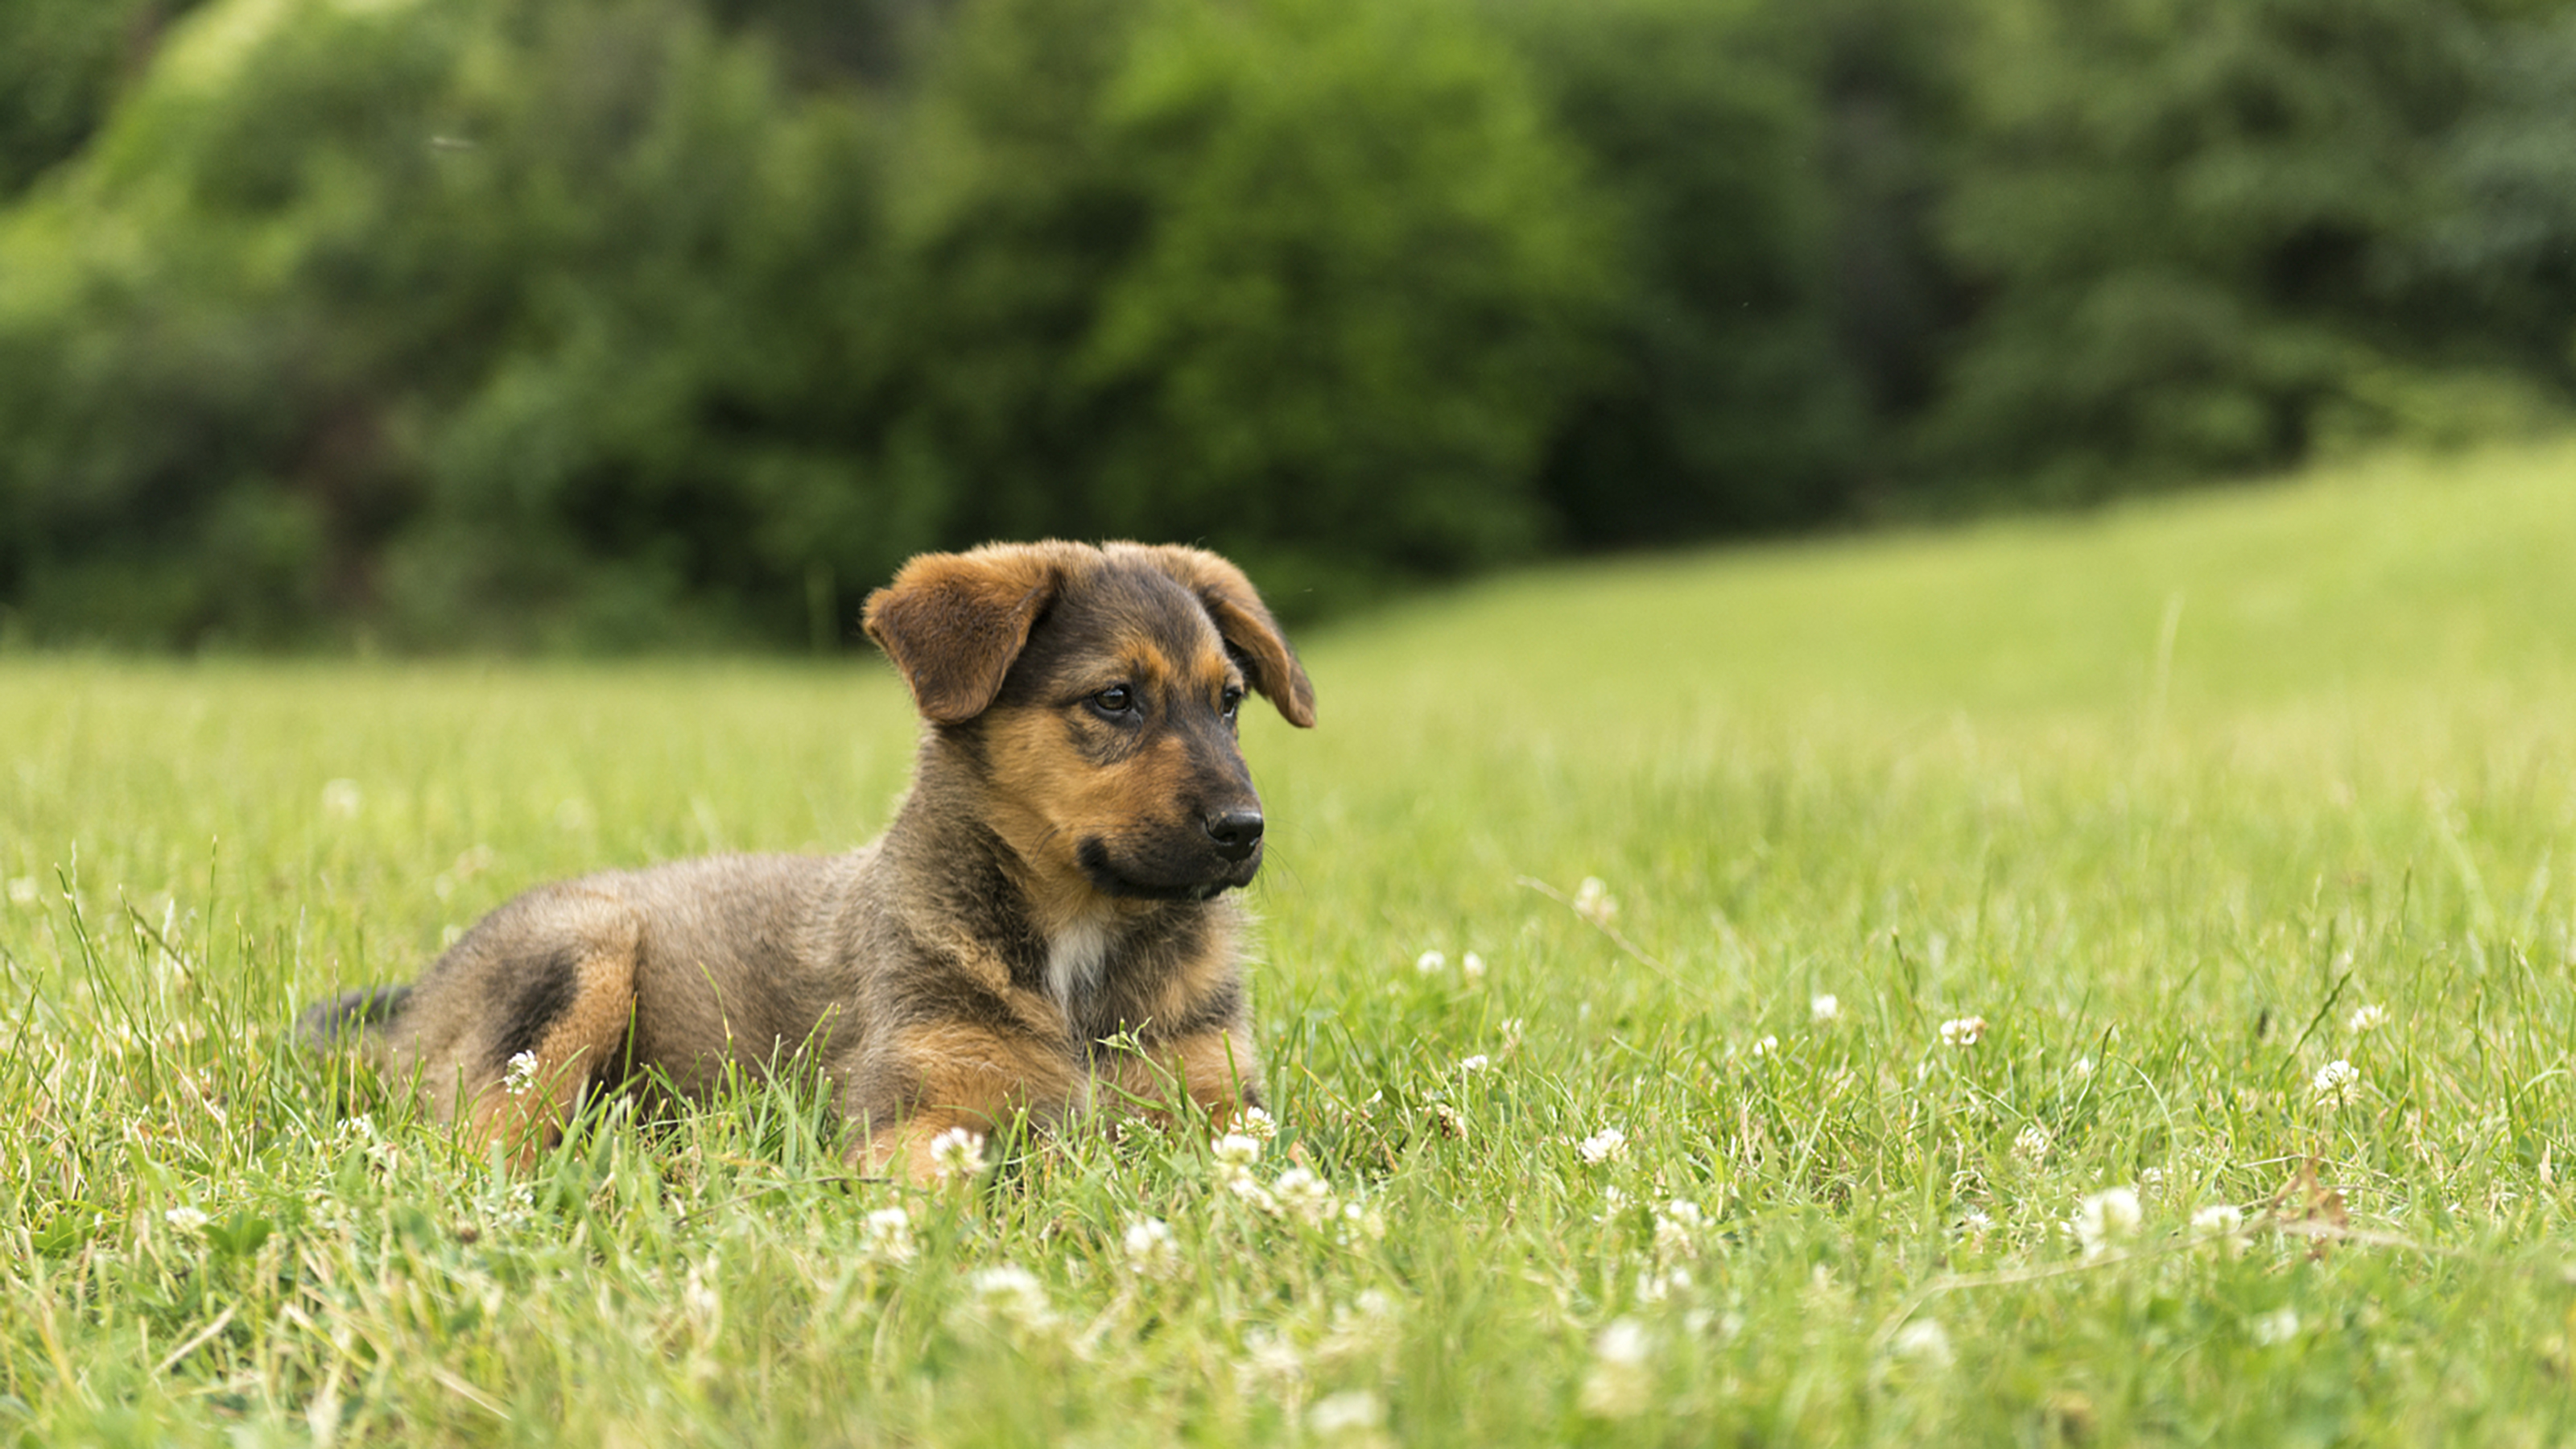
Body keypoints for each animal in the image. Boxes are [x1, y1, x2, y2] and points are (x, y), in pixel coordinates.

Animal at [299, 539, 1308, 1175]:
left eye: (1228, 703)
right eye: (1113, 700)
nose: (1244, 830)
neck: (1080, 939)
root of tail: (409, 1012)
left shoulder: (1223, 1101)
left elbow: (1294, 1165)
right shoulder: (913, 1109)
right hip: (578, 952)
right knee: (475, 1142)